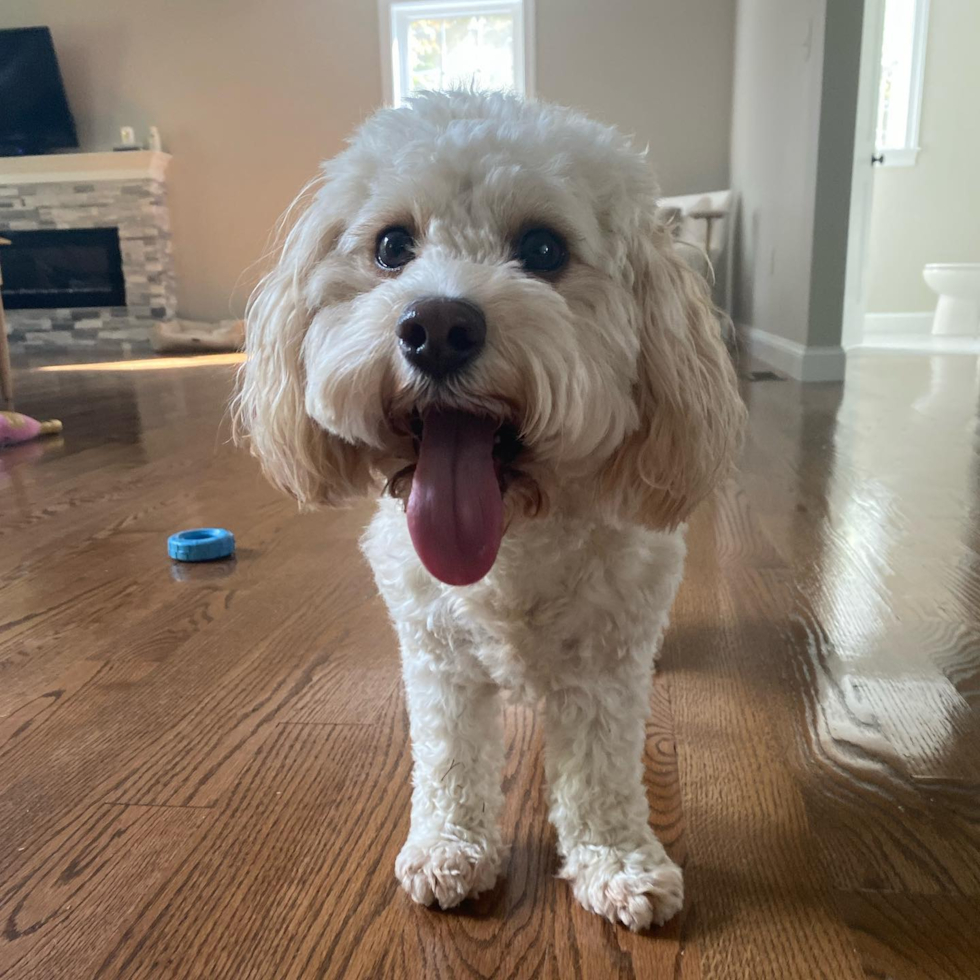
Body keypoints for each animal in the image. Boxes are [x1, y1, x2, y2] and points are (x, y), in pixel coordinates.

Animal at [237, 88, 744, 932]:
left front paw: (618, 860)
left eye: (542, 249)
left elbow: (602, 775)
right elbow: (449, 762)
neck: (512, 534)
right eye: (391, 246)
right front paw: (451, 847)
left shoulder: (603, 665)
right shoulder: (436, 657)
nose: (437, 328)